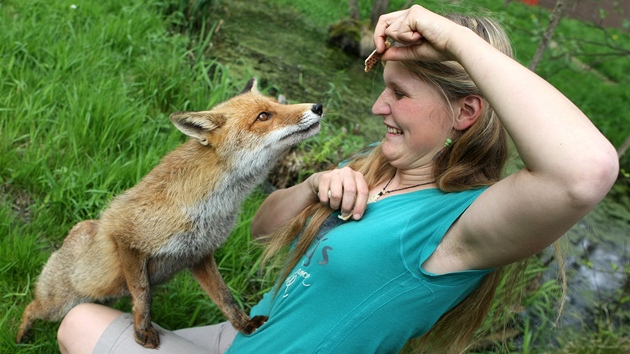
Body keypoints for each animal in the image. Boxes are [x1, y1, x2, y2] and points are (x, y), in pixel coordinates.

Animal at [17, 78, 324, 348]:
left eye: (276, 103)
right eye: (263, 116)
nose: (318, 106)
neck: (213, 207)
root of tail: (74, 232)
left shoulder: (198, 254)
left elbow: (225, 298)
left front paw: (245, 325)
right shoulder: (126, 236)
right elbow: (143, 295)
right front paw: (142, 330)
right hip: (59, 307)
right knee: (31, 307)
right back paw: (21, 336)